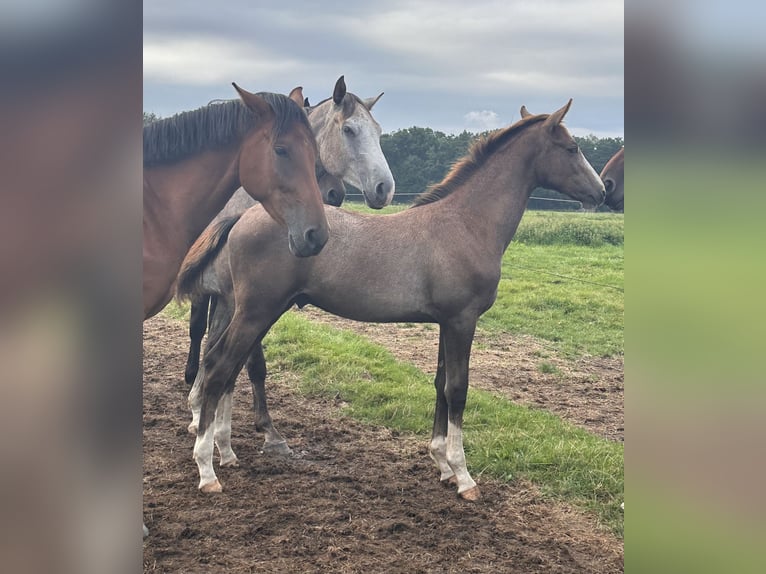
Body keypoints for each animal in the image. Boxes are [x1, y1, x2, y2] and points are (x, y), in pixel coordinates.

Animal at [178, 101, 608, 502]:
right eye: (571, 148)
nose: (602, 192)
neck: (466, 223)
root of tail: (242, 217)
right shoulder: (462, 320)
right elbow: (458, 390)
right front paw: (463, 476)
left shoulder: (446, 322)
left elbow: (440, 384)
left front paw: (441, 464)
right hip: (257, 312)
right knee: (218, 369)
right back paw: (207, 469)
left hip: (253, 311)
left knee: (223, 368)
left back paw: (225, 451)